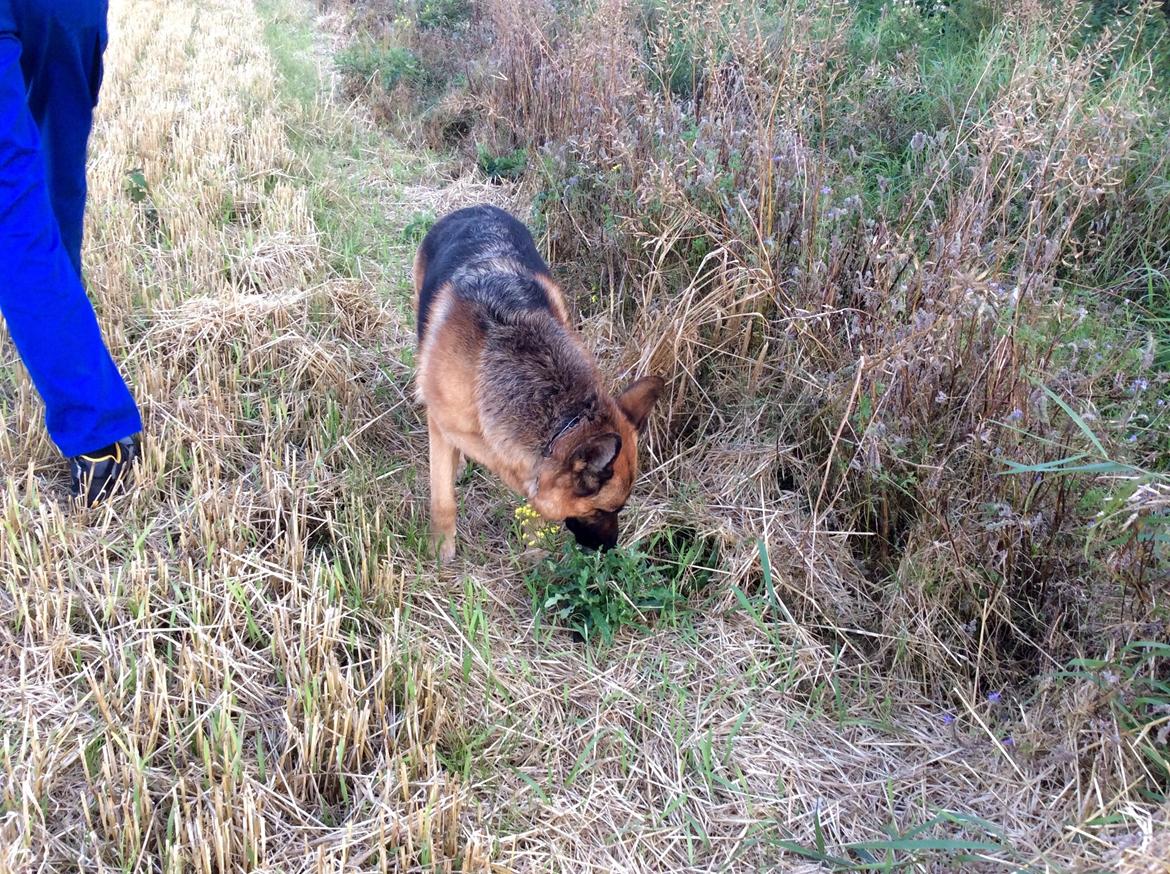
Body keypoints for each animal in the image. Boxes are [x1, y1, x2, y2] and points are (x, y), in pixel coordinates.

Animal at [416, 204, 664, 561]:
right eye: (604, 510)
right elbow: (442, 499)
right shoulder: (440, 423)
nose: (609, 548)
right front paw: (441, 548)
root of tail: (478, 208)